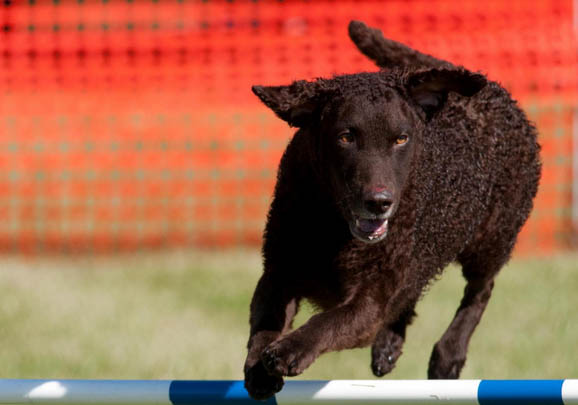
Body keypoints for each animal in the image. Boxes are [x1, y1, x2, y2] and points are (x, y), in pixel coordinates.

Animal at [243, 19, 540, 398]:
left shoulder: (370, 300)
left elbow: (328, 321)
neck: (331, 225)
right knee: (412, 292)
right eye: (345, 137)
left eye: (401, 138)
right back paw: (388, 346)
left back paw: (448, 355)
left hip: (493, 235)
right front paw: (258, 369)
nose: (379, 202)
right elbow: (265, 323)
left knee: (480, 290)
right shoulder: (279, 272)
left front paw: (289, 351)